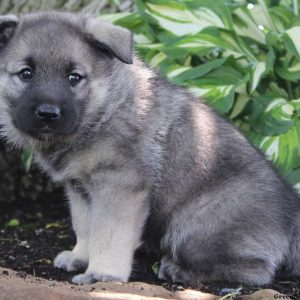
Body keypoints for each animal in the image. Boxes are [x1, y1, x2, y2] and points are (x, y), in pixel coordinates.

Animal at [0, 12, 300, 286]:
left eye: (74, 77)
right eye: (26, 73)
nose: (48, 113)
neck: (103, 111)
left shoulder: (119, 187)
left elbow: (108, 235)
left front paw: (102, 274)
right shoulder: (80, 189)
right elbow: (85, 226)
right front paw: (80, 257)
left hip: (194, 226)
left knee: (256, 271)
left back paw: (177, 270)